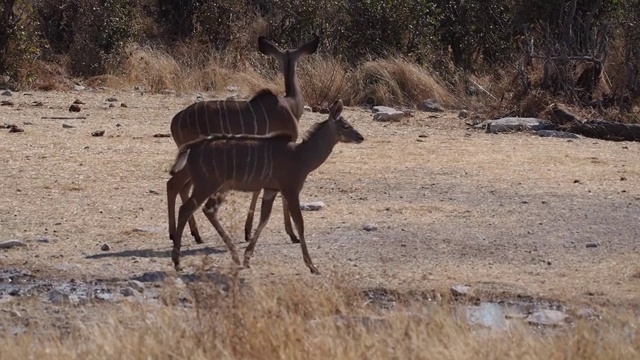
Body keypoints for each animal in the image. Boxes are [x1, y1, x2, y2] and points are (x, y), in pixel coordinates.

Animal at [168, 35, 320, 245]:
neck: (290, 105)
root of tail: (175, 120)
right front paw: (291, 234)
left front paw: (248, 232)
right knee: (174, 184)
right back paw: (178, 235)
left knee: (180, 187)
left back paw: (194, 235)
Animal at [170, 100, 362, 274]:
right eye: (345, 125)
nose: (361, 137)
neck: (300, 156)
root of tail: (191, 148)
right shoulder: (291, 189)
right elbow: (299, 223)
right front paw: (312, 266)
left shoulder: (271, 190)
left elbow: (264, 218)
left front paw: (247, 258)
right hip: (206, 185)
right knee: (185, 208)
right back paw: (177, 262)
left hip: (219, 187)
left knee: (207, 209)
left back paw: (235, 256)